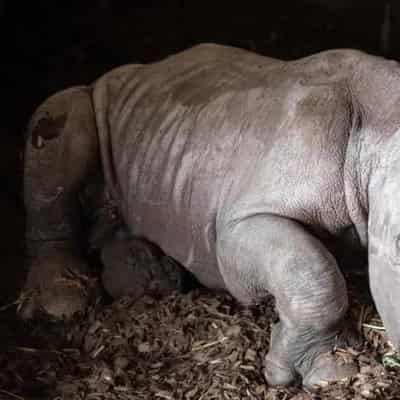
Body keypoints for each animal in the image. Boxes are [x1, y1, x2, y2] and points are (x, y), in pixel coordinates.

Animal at [19, 43, 400, 388]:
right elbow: (309, 269)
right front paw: (330, 373)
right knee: (62, 118)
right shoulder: (240, 222)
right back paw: (63, 300)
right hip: (94, 97)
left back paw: (148, 276)